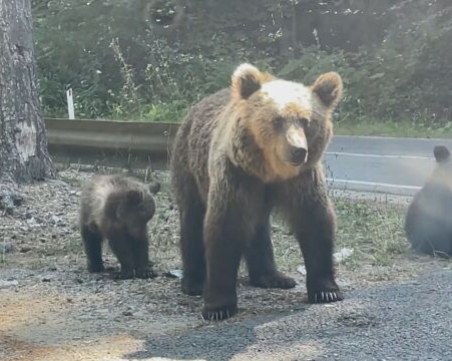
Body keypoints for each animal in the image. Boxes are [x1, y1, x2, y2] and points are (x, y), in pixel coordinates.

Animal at [171, 62, 344, 320]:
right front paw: (218, 306)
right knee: (192, 218)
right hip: (190, 166)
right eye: (277, 120)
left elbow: (315, 221)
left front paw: (327, 290)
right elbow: (225, 227)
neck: (269, 173)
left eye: (306, 121)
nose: (298, 150)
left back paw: (273, 276)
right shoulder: (236, 175)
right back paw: (193, 282)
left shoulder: (302, 180)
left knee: (258, 227)